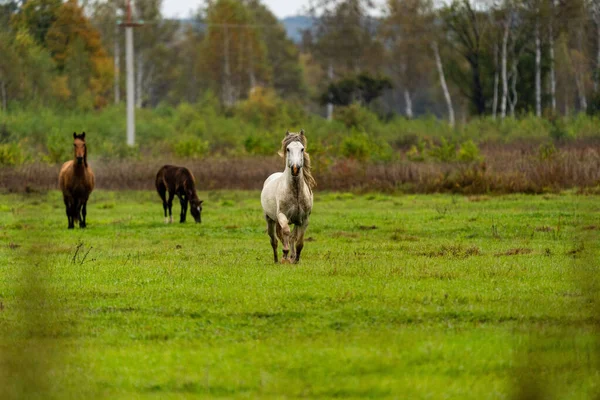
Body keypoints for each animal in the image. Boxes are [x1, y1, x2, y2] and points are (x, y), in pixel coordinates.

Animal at [260, 130, 316, 264]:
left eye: (302, 149)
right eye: (288, 149)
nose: (295, 169)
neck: (295, 193)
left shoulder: (303, 220)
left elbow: (298, 240)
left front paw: (295, 259)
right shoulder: (282, 216)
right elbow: (286, 231)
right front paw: (285, 254)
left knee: (291, 237)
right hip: (270, 219)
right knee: (274, 240)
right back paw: (277, 259)